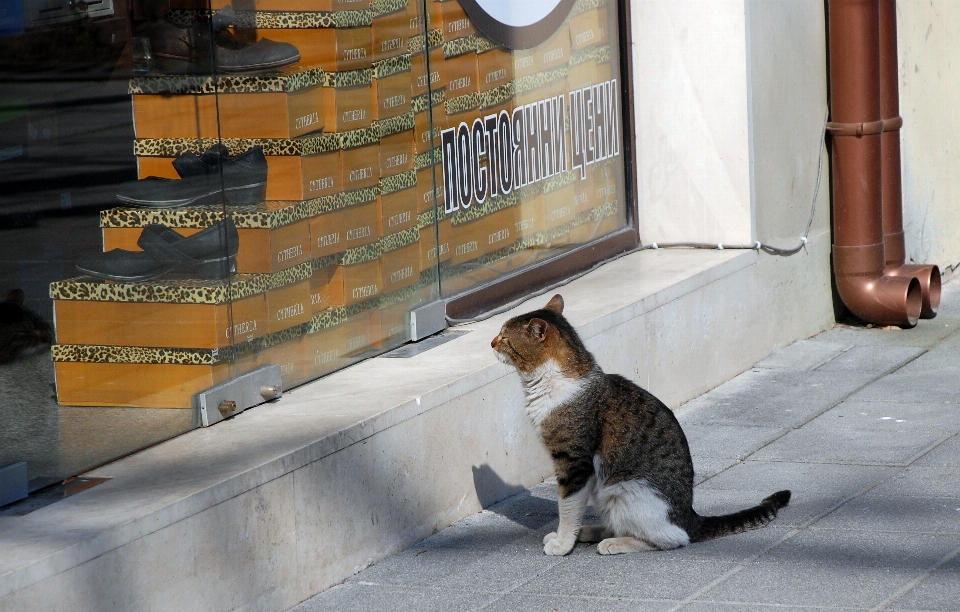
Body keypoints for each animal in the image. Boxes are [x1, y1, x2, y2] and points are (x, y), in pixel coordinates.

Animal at [492, 294, 792, 556]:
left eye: (505, 336)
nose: (492, 343)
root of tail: (690, 516)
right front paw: (568, 538)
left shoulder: (573, 462)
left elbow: (568, 506)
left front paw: (563, 544)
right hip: (607, 494)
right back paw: (592, 532)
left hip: (625, 490)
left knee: (671, 538)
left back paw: (614, 543)